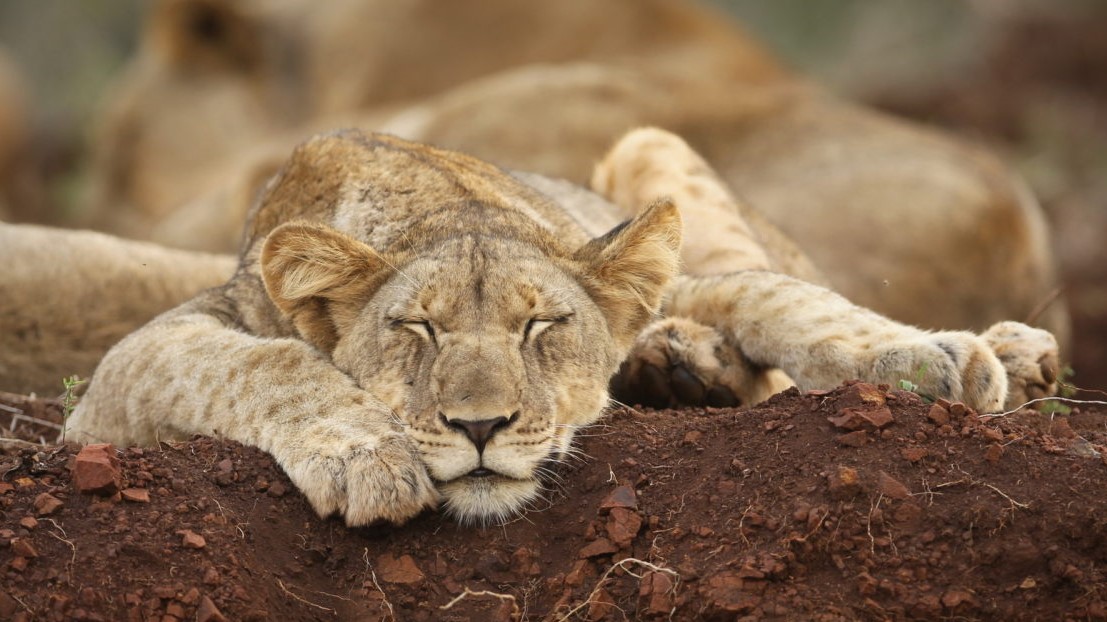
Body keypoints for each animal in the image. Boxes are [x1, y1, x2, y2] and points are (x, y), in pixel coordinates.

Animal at [66, 129, 1059, 526]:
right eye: (417, 331)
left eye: (539, 325)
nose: (479, 429)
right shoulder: (125, 374)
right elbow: (260, 363)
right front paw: (365, 456)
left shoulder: (662, 270)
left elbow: (776, 298)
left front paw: (929, 359)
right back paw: (678, 366)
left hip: (646, 145)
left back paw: (1016, 352)